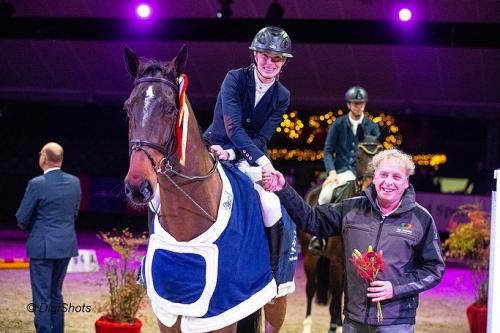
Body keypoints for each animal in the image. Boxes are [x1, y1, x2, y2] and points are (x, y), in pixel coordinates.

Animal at [121, 44, 292, 332]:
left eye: (170, 109)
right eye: (127, 109)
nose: (137, 186)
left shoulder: (223, 313)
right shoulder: (167, 314)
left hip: (276, 306)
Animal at [298, 133, 384, 332]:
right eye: (358, 157)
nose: (370, 187)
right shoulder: (338, 262)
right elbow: (336, 302)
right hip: (310, 256)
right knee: (310, 289)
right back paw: (308, 325)